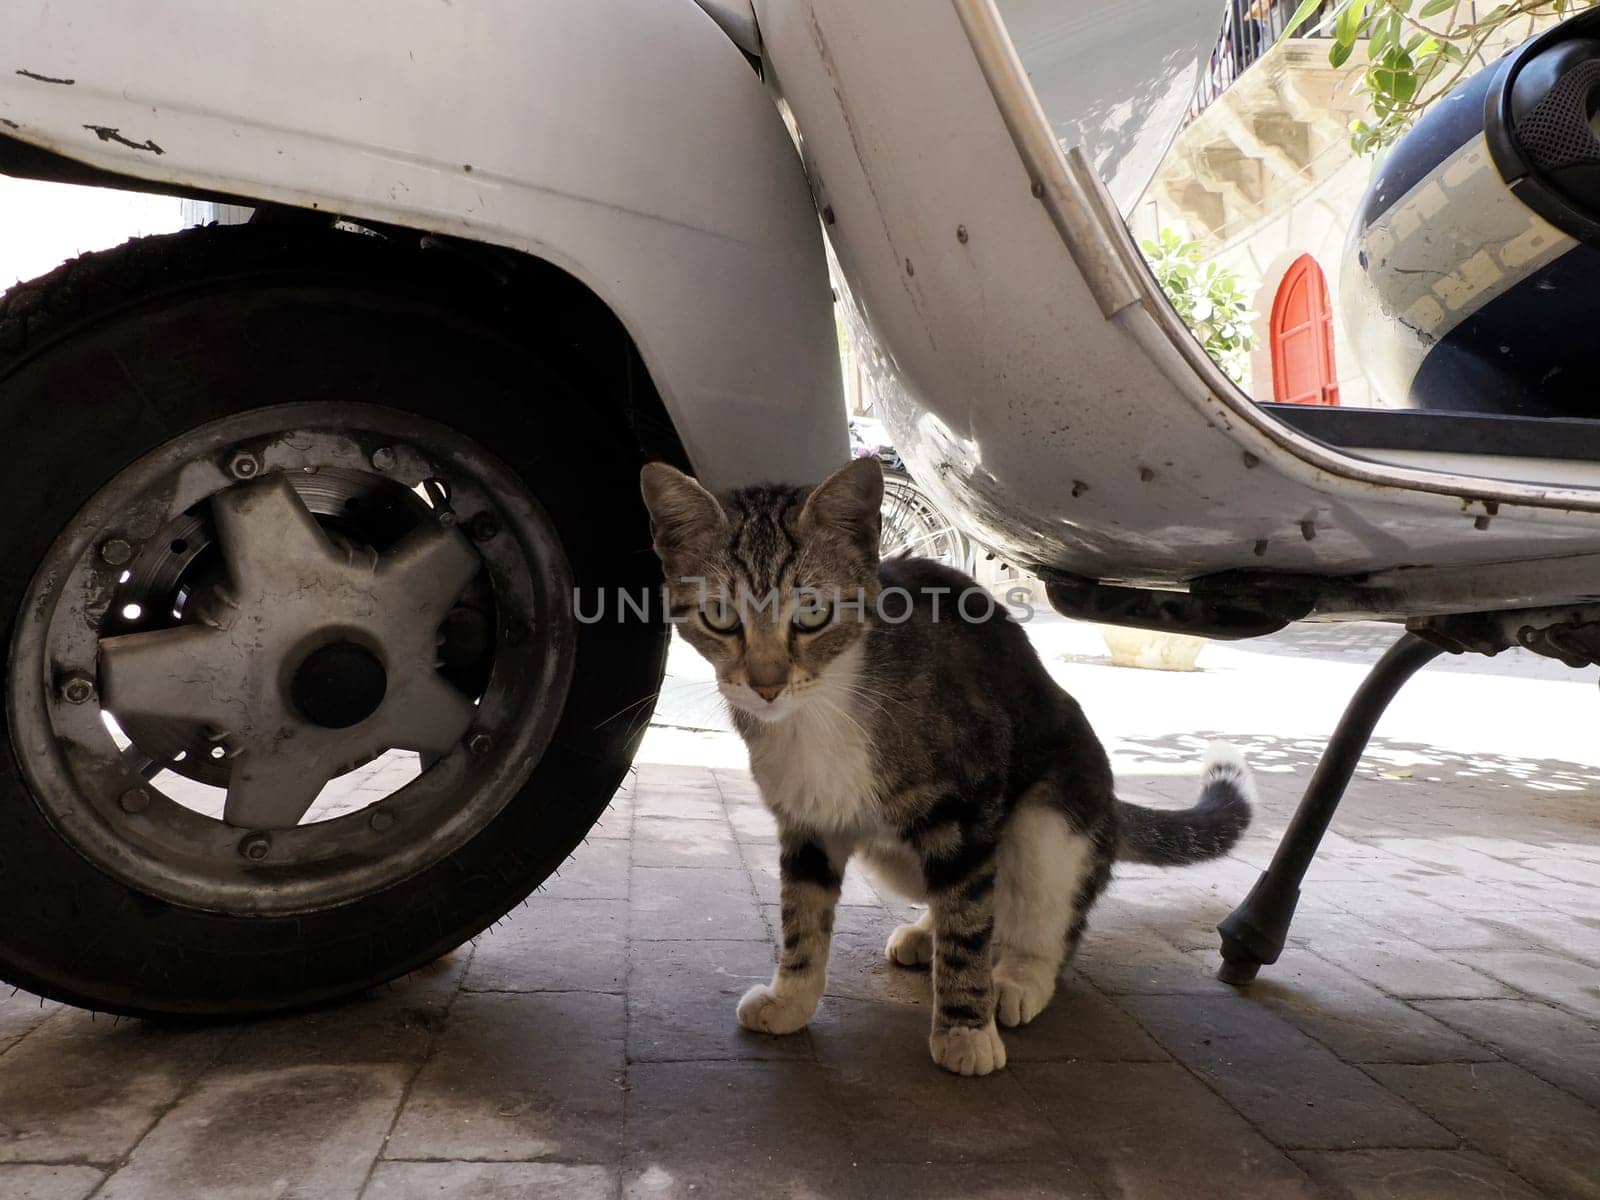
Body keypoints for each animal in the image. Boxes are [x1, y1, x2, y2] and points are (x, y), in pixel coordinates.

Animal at [636, 460, 1248, 1081]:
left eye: (811, 614)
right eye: (720, 616)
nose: (766, 685)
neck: (822, 710)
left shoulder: (970, 802)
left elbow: (968, 927)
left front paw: (965, 1030)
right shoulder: (807, 819)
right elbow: (803, 912)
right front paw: (792, 999)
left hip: (1051, 818)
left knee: (1041, 914)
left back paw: (1018, 978)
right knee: (968, 894)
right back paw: (926, 935)